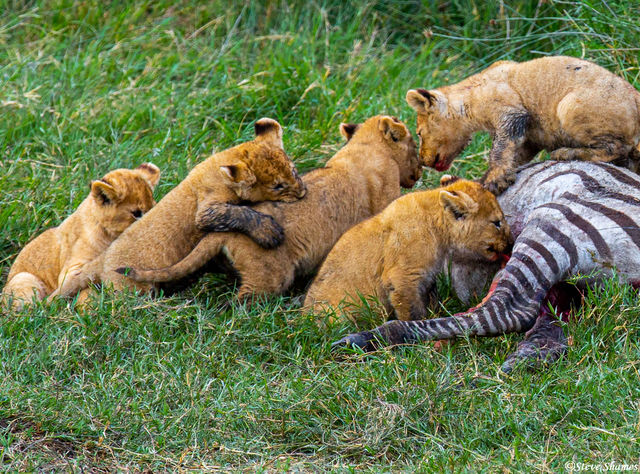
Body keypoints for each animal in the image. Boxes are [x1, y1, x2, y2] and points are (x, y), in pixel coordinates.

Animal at [2, 163, 161, 309]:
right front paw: (89, 308)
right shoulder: (72, 270)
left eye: (154, 207)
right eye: (136, 213)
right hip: (24, 278)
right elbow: (85, 286)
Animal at [304, 179, 512, 323]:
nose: (511, 242)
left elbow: (431, 299)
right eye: (497, 222)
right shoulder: (402, 276)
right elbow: (412, 310)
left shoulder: (427, 278)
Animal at [406, 56, 640, 194]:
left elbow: (499, 149)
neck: (468, 98)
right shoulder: (531, 136)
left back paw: (566, 152)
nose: (423, 160)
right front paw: (480, 180)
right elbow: (515, 154)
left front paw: (495, 180)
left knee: (616, 148)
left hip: (569, 106)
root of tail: (637, 97)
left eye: (419, 133)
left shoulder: (511, 112)